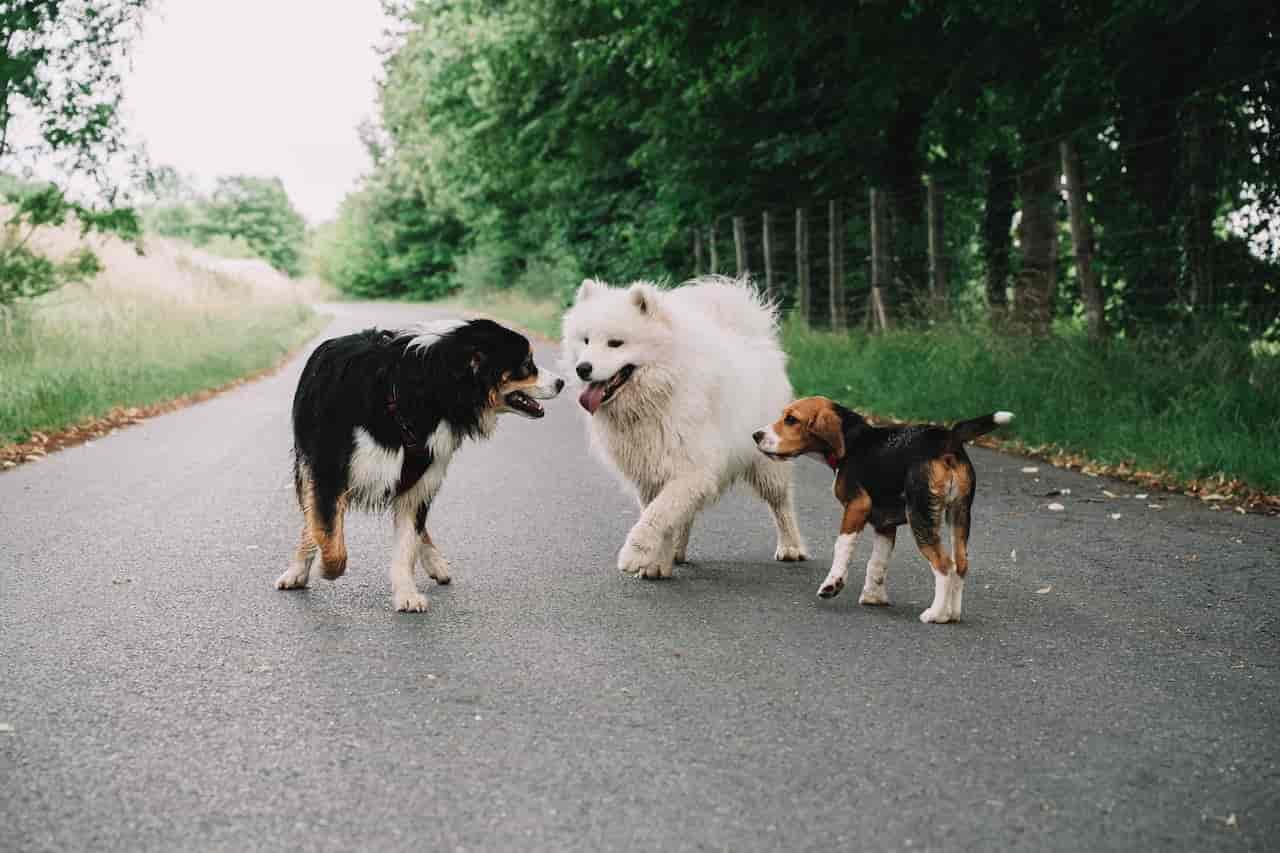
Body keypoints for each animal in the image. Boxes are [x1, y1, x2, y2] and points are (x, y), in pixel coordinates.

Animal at [277, 315, 563, 607]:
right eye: (526, 364)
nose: (562, 382)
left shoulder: (421, 480)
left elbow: (407, 544)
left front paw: (407, 594)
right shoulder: (327, 471)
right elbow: (329, 536)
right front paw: (326, 567)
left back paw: (436, 563)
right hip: (307, 463)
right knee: (311, 519)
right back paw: (297, 571)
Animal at [563, 274, 808, 578]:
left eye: (615, 343)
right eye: (585, 340)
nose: (582, 368)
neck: (661, 391)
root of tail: (754, 336)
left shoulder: (691, 469)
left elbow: (656, 515)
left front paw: (636, 554)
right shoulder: (652, 473)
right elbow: (663, 515)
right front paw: (657, 563)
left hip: (766, 465)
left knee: (781, 504)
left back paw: (791, 547)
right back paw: (678, 552)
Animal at [747, 394, 1008, 622]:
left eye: (791, 419)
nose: (756, 435)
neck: (852, 439)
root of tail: (948, 439)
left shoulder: (857, 506)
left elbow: (842, 547)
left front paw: (832, 584)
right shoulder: (885, 524)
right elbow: (877, 563)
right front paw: (873, 596)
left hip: (921, 516)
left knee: (944, 565)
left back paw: (936, 614)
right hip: (959, 515)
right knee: (961, 564)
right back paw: (952, 614)